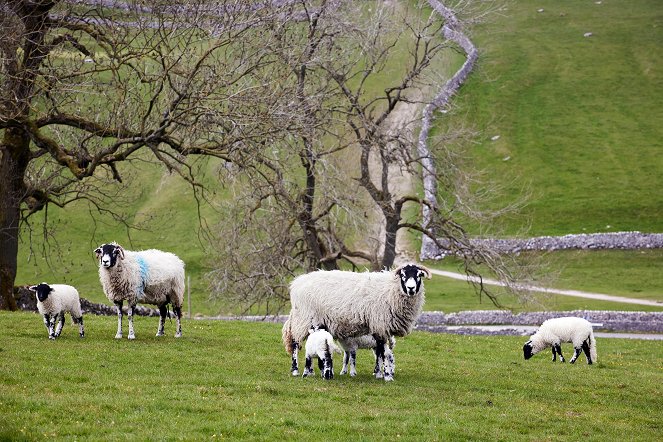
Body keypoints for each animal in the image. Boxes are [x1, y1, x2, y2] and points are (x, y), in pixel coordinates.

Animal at [280, 264, 430, 382]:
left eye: (419, 275)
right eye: (403, 275)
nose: (411, 288)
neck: (391, 289)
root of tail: (297, 283)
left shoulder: (381, 327)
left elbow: (381, 352)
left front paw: (379, 373)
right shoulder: (380, 324)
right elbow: (382, 352)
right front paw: (386, 375)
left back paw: (310, 371)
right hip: (304, 318)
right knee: (295, 343)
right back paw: (295, 370)